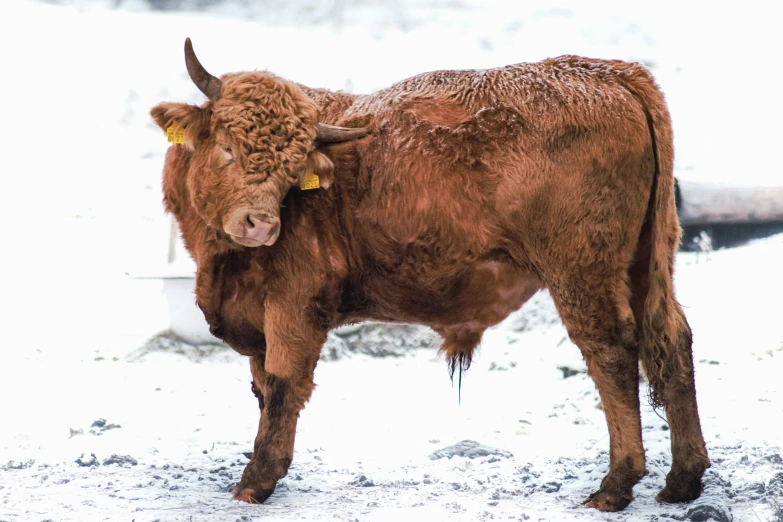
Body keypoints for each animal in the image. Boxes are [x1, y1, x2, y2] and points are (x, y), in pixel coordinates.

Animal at [152, 38, 712, 510]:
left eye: (293, 170)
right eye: (227, 146)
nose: (261, 224)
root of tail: (609, 72)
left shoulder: (294, 309)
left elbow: (284, 386)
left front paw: (255, 481)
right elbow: (263, 389)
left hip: (581, 274)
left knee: (612, 353)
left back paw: (615, 485)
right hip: (646, 264)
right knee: (671, 341)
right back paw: (682, 480)